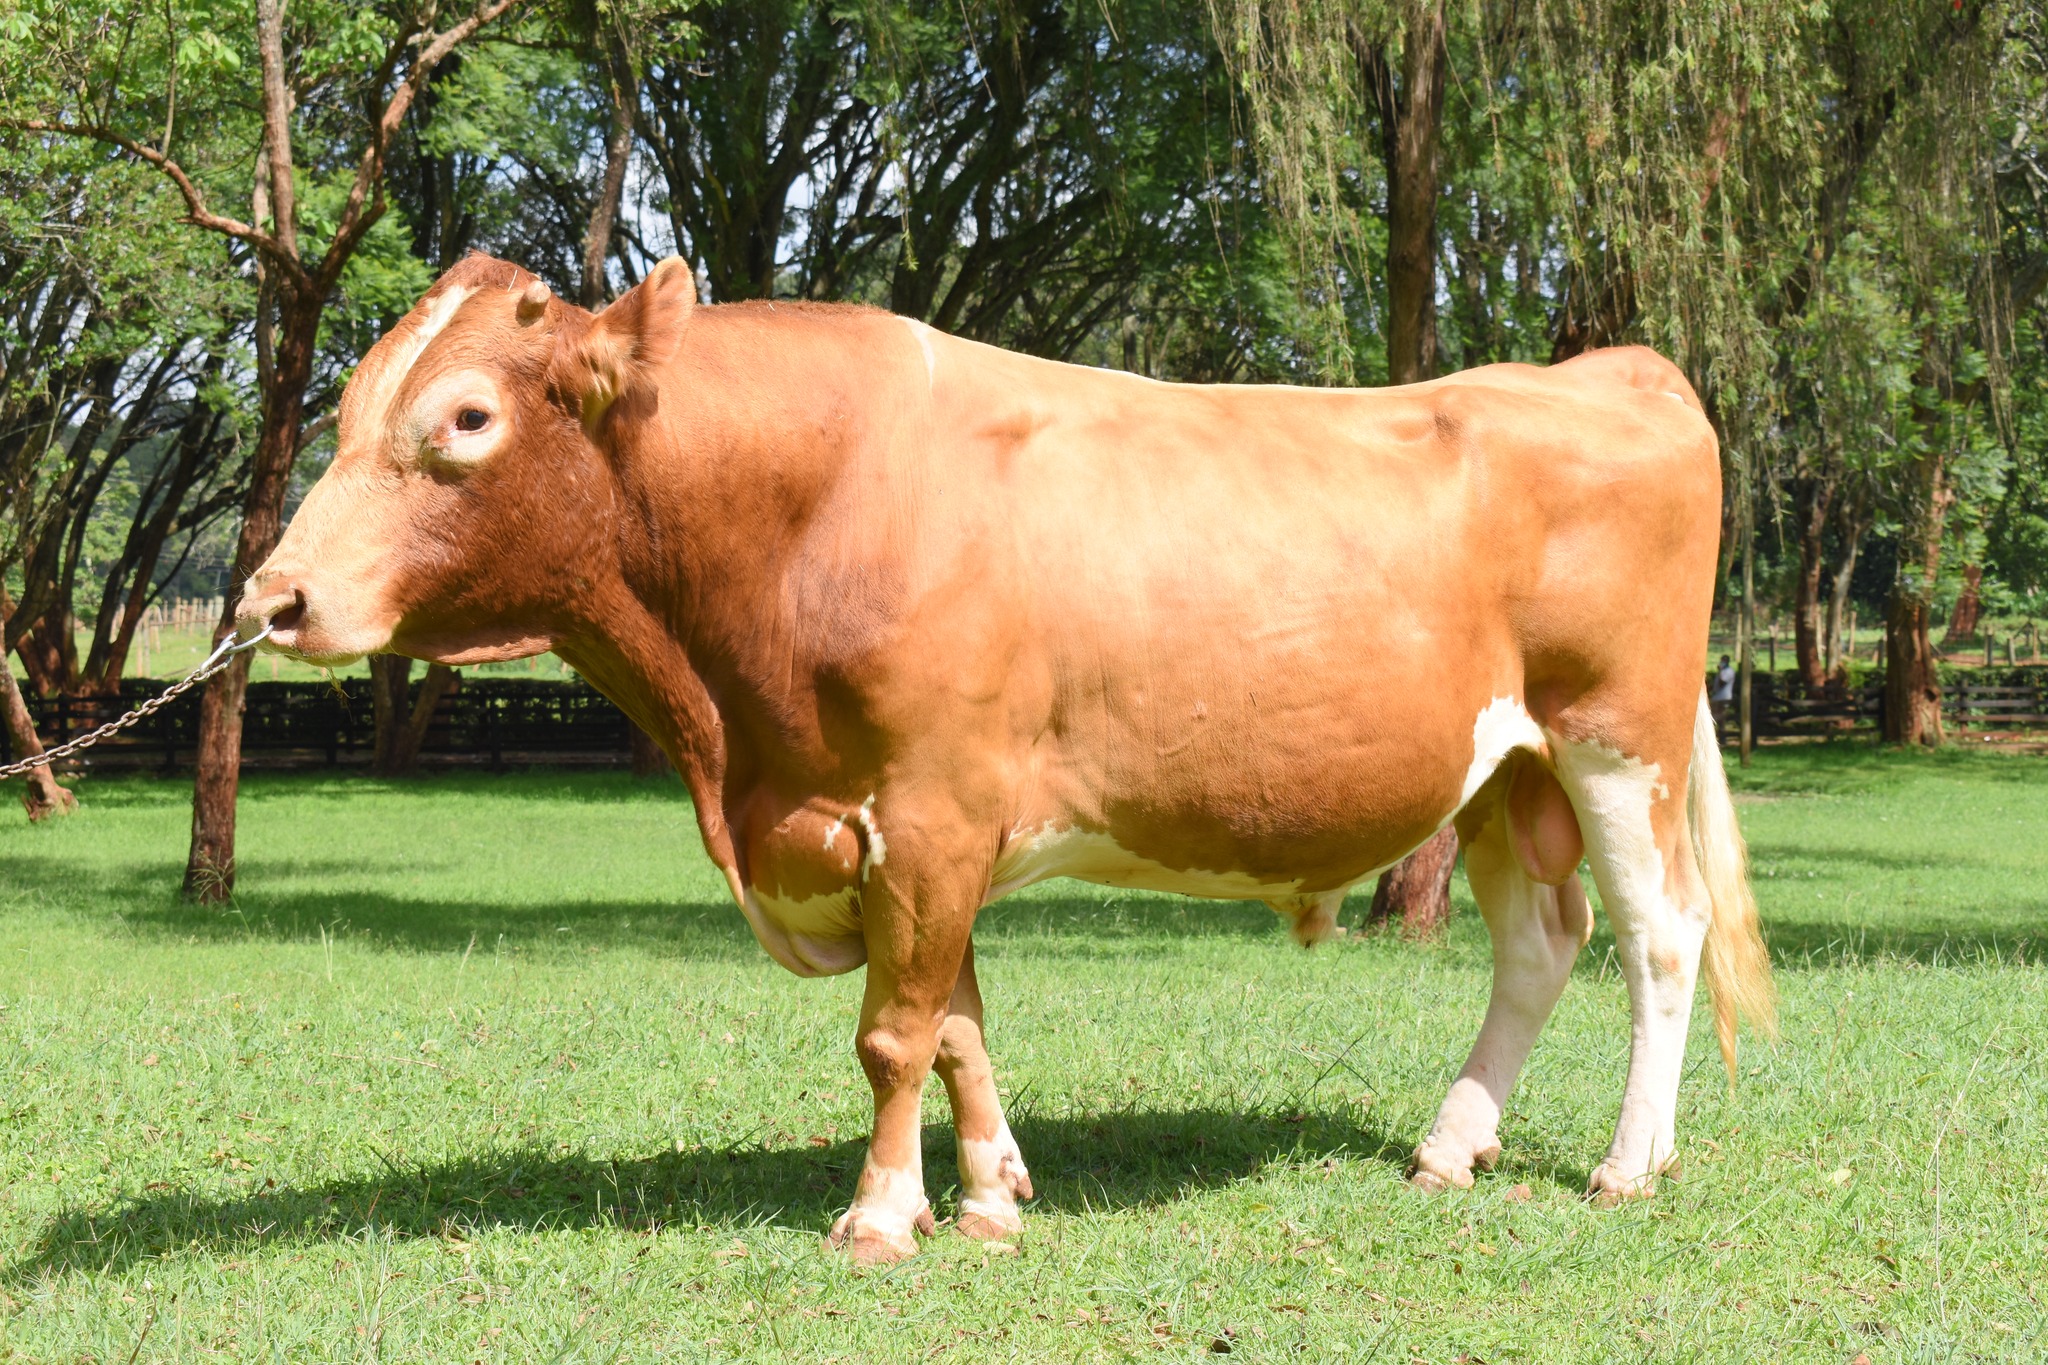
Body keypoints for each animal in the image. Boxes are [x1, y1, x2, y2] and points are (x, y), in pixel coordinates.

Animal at [239, 252, 1775, 1263]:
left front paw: (877, 1218)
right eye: (347, 408)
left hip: (1614, 735)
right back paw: (1452, 1149)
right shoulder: (919, 830)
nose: (274, 598)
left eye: (466, 418)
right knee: (1541, 943)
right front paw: (980, 1196)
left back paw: (1625, 1166)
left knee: (1661, 936)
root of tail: (1608, 368)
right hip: (1508, 767)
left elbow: (892, 1032)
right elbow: (959, 1024)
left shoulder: (931, 804)